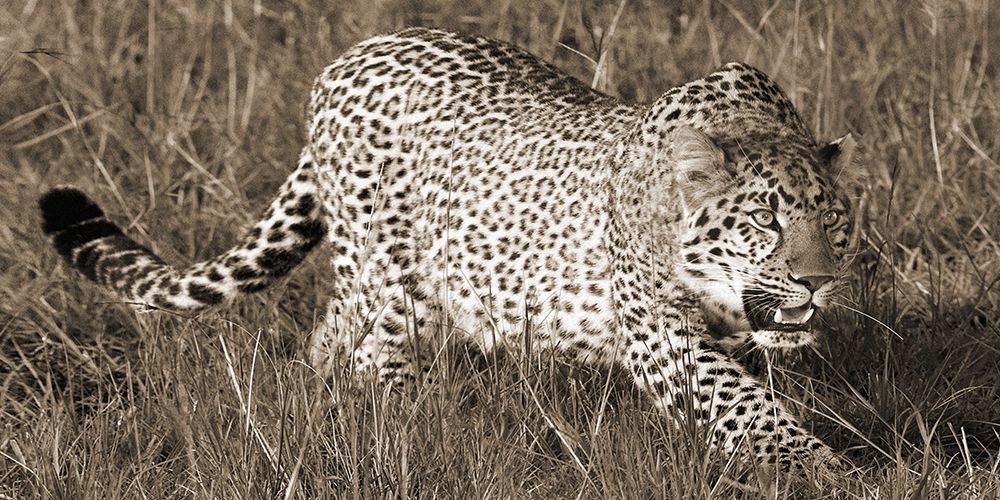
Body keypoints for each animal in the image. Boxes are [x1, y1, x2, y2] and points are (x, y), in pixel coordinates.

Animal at [39, 27, 863, 471]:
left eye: (834, 222)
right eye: (763, 219)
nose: (818, 281)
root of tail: (342, 62)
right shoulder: (660, 334)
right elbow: (746, 406)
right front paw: (821, 470)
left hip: (382, 285)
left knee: (328, 342)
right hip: (394, 279)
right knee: (369, 354)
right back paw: (405, 429)